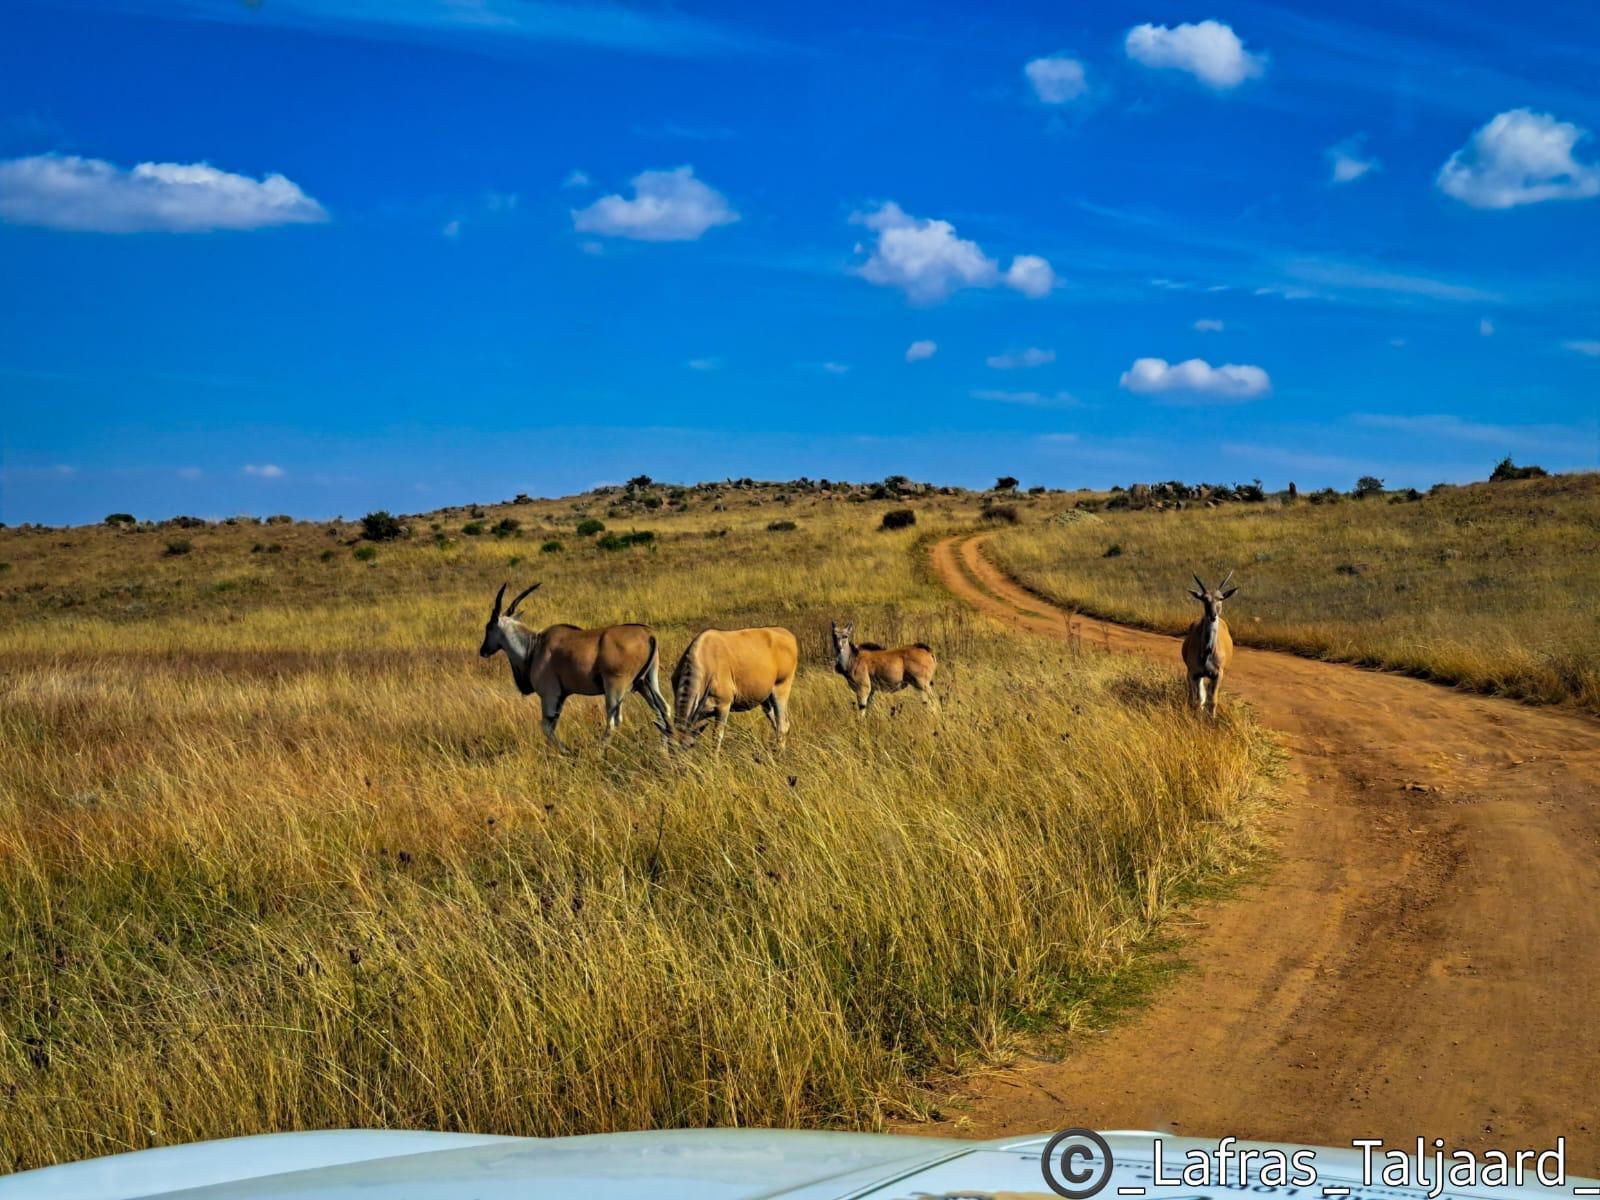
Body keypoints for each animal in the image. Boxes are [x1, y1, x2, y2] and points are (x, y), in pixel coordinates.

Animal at [476, 582, 672, 752]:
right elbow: (551, 725)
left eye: (488, 627)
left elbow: (546, 727)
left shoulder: (550, 695)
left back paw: (598, 751)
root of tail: (648, 634)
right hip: (646, 682)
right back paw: (663, 748)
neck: (534, 645)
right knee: (663, 710)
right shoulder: (560, 697)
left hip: (615, 686)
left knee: (613, 721)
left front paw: (566, 751)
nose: (483, 650)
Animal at [668, 630, 800, 752]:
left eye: (688, 746)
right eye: (669, 747)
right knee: (779, 724)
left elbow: (717, 737)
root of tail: (788, 635)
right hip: (766, 699)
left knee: (782, 725)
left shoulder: (723, 706)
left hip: (781, 689)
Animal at [1177, 569, 1235, 713]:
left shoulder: (1218, 674)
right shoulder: (1194, 673)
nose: (1213, 615)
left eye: (1221, 598)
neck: (1208, 652)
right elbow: (1197, 700)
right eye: (1204, 599)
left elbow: (1212, 700)